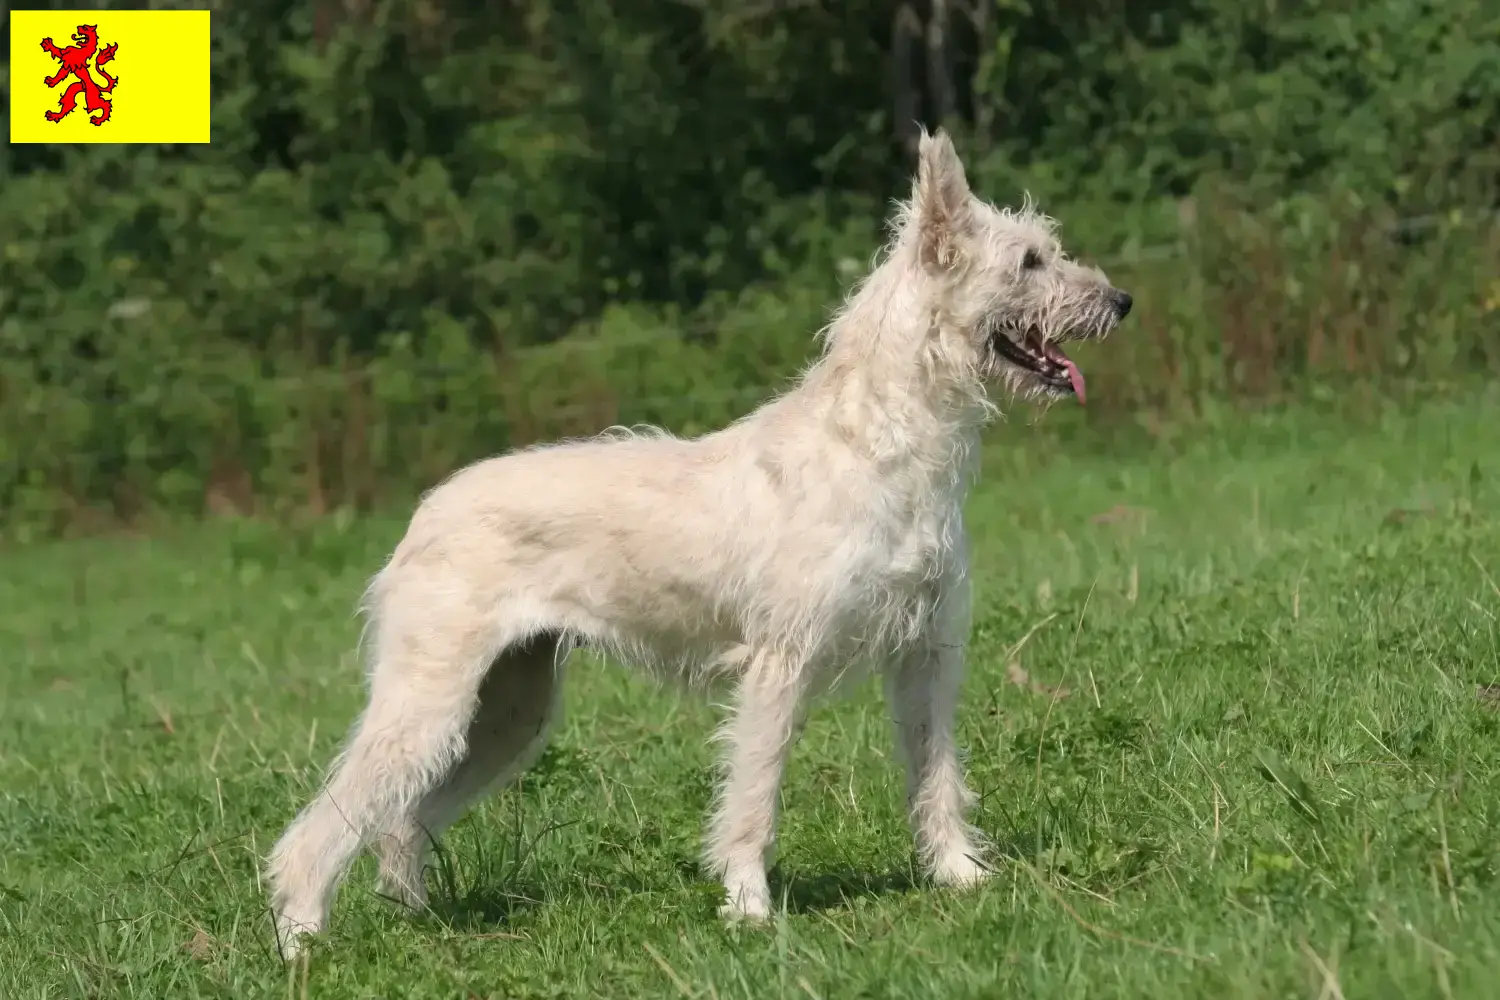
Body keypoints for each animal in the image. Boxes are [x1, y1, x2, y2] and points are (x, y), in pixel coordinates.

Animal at [270, 128, 1128, 959]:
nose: (1122, 300)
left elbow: (936, 774)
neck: (880, 440)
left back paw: (417, 920)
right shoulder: (779, 667)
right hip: (429, 704)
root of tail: (424, 515)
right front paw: (749, 910)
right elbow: (754, 797)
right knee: (323, 826)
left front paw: (959, 876)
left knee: (397, 823)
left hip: (507, 712)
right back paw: (302, 940)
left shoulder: (926, 656)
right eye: (1028, 261)